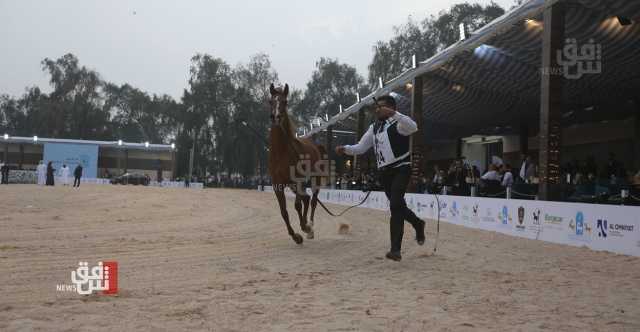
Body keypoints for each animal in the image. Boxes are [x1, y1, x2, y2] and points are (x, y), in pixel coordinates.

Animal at [268, 83, 324, 244]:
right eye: (270, 101)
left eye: (285, 101)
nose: (275, 117)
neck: (281, 152)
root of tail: (315, 146)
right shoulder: (277, 185)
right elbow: (284, 212)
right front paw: (295, 236)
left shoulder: (297, 181)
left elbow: (297, 205)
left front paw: (304, 229)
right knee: (306, 199)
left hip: (314, 179)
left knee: (313, 201)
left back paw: (309, 227)